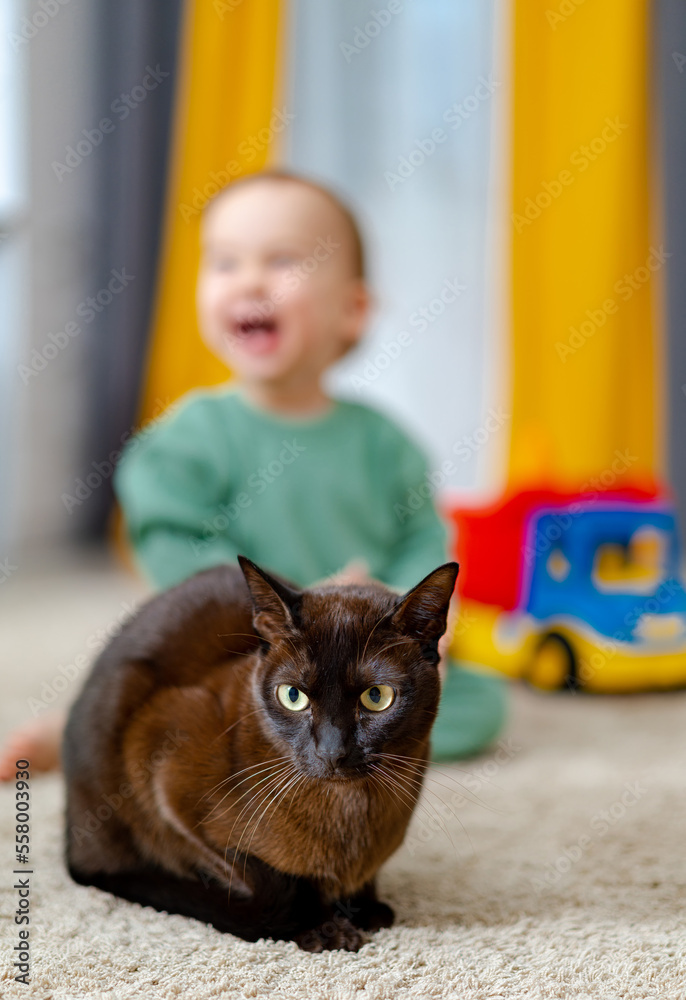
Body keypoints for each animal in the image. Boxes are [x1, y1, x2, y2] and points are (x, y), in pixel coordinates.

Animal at [64, 556, 460, 952]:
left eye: (376, 697)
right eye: (293, 696)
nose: (332, 752)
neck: (350, 814)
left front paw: (365, 910)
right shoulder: (168, 781)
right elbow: (271, 878)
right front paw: (324, 928)